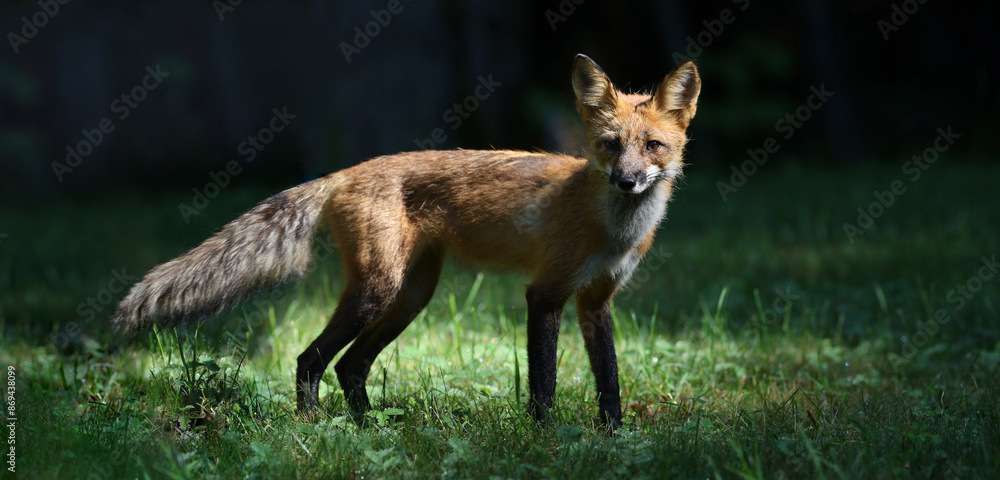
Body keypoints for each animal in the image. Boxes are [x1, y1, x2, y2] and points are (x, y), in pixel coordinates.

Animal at [112, 54, 700, 430]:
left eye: (652, 146)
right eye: (610, 145)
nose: (626, 181)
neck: (612, 228)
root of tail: (345, 172)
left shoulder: (595, 300)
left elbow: (610, 381)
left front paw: (614, 437)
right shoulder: (546, 294)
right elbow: (544, 383)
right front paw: (546, 439)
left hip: (411, 297)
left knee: (350, 366)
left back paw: (373, 431)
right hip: (378, 292)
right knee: (311, 359)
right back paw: (314, 431)